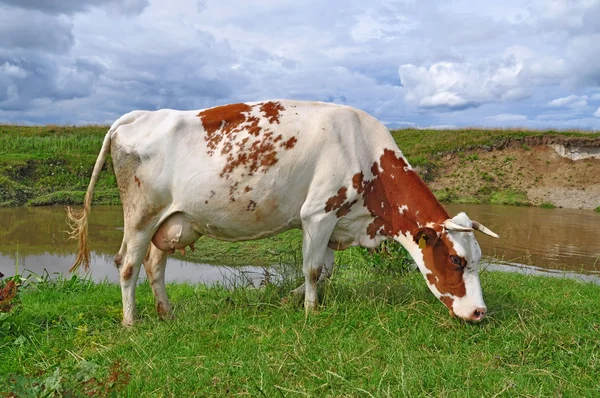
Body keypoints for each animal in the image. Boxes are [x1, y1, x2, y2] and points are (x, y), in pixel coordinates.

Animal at [68, 100, 500, 326]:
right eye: (457, 260)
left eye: (478, 259)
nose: (480, 312)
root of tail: (139, 115)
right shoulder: (318, 214)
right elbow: (311, 269)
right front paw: (309, 311)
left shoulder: (334, 224)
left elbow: (323, 270)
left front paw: (289, 300)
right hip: (141, 214)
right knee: (127, 264)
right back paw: (131, 322)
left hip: (172, 221)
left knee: (155, 265)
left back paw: (167, 313)